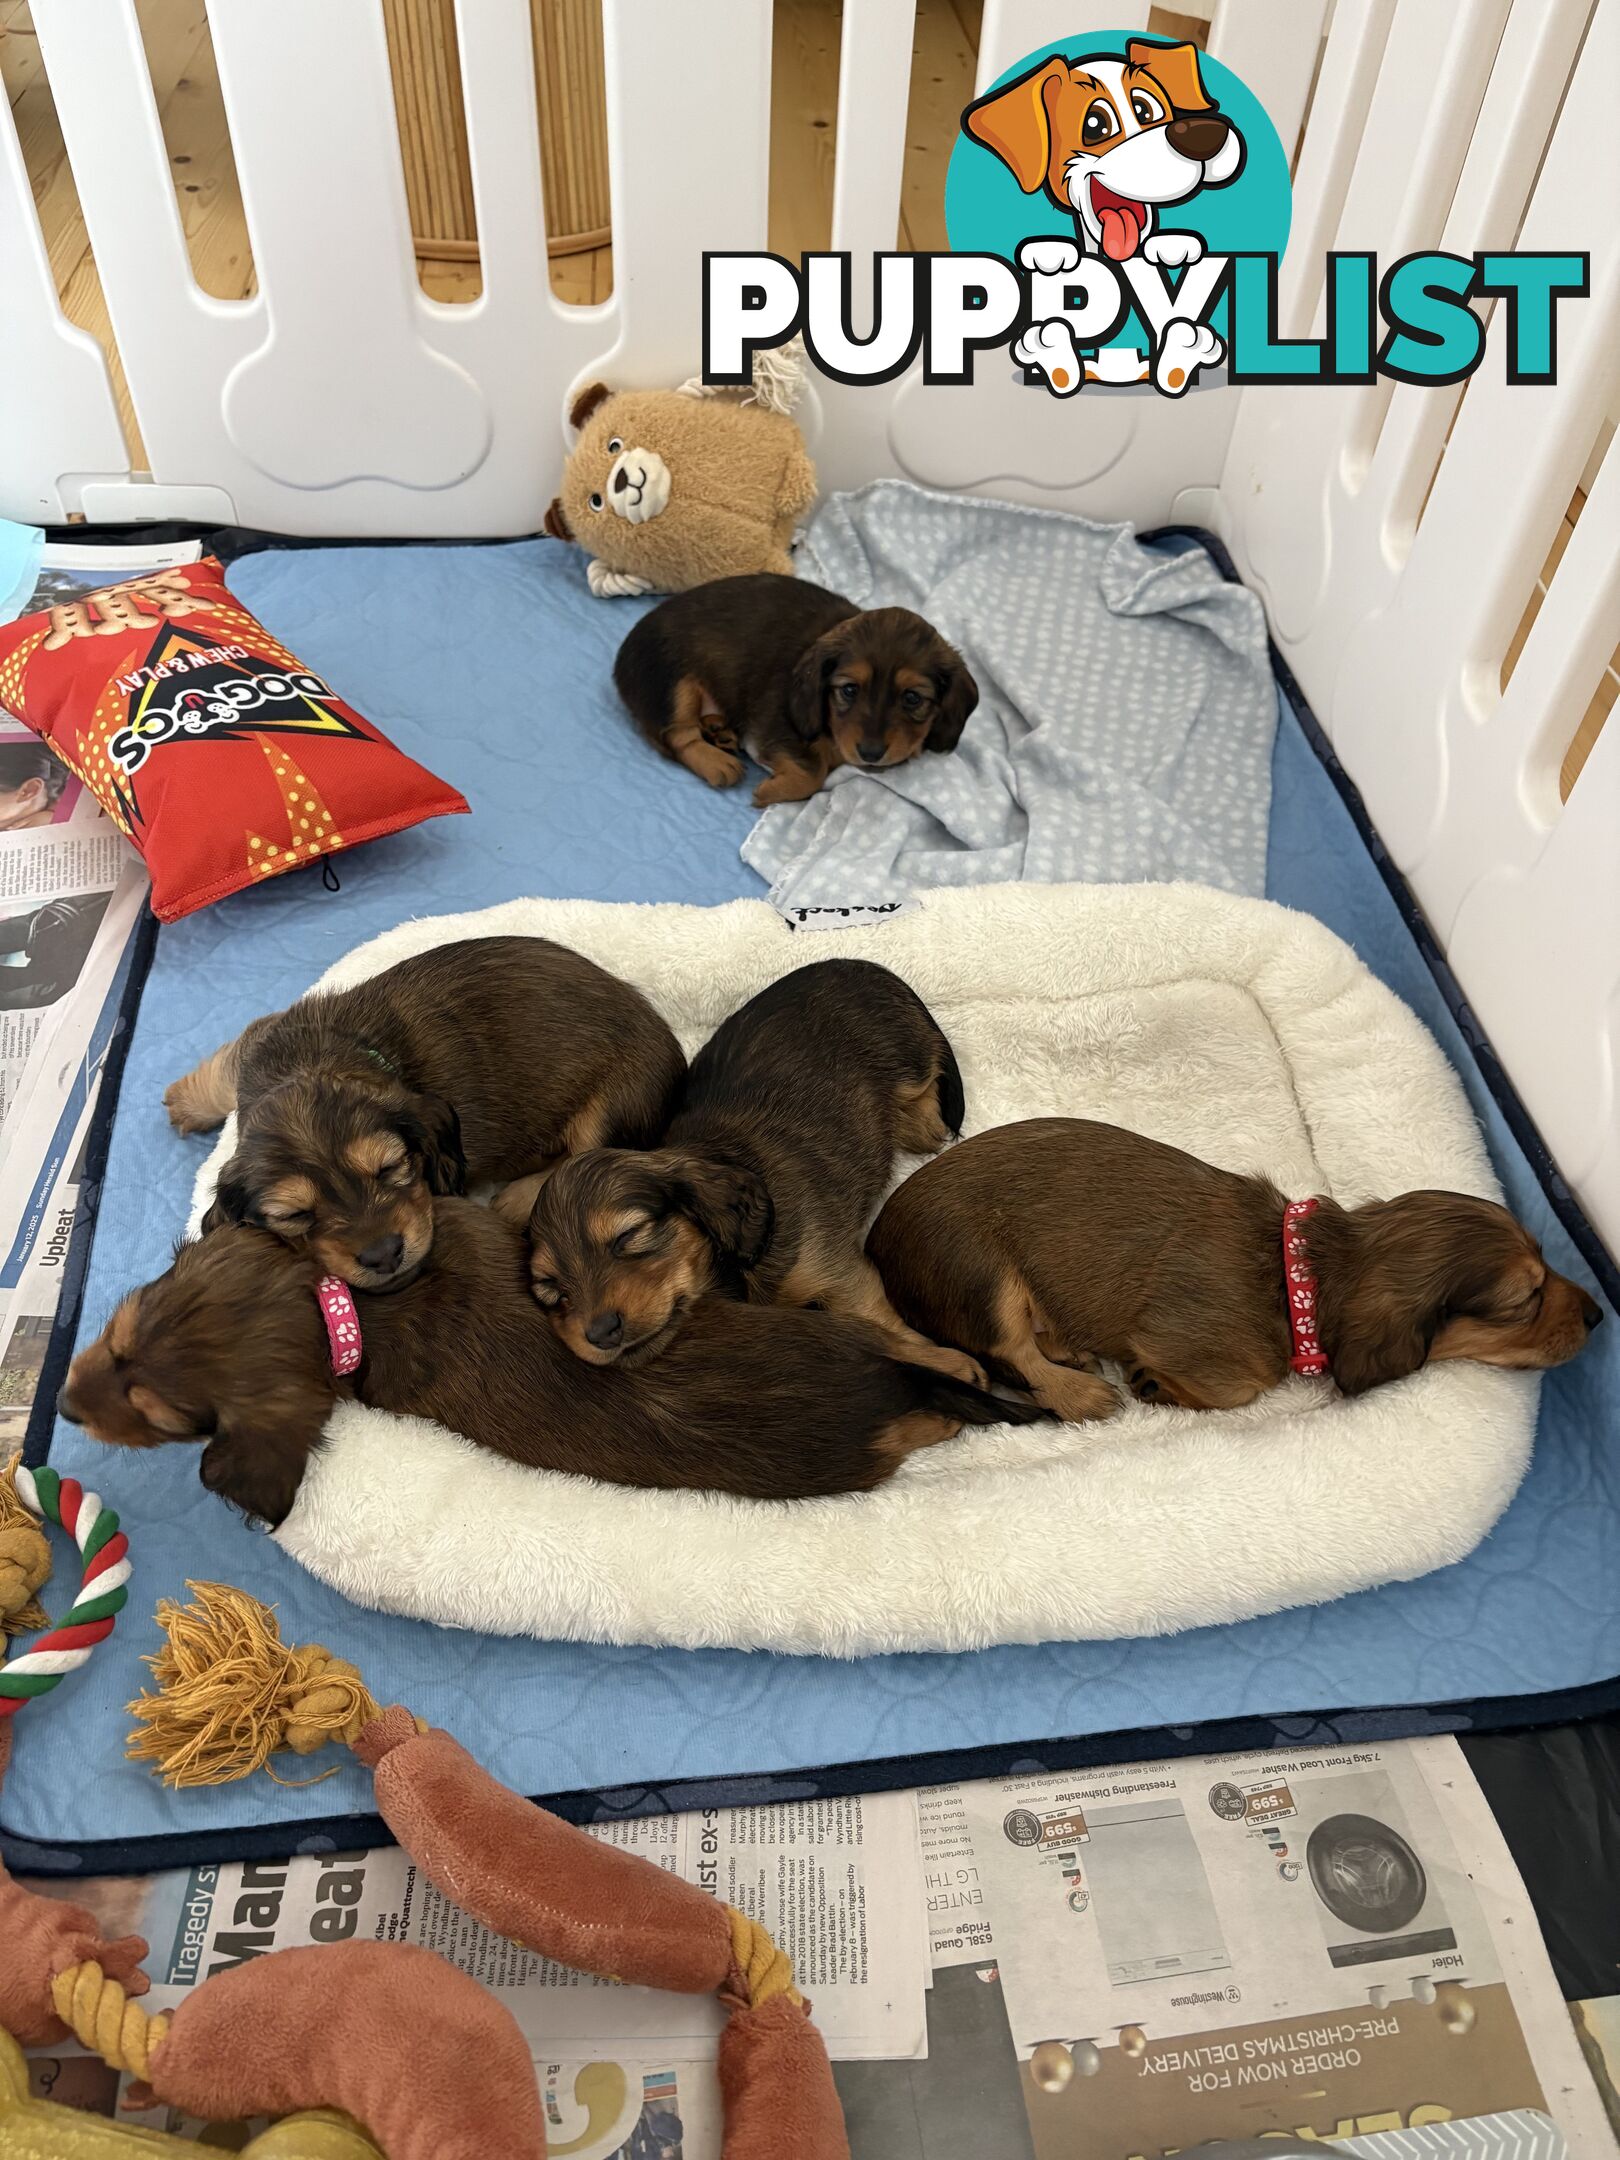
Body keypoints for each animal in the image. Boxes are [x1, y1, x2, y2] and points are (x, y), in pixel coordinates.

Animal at [158, 933, 678, 1296]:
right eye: (295, 1214)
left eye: (390, 1168)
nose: (384, 1255)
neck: (313, 1061)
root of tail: (669, 1039)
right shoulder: (257, 1046)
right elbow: (224, 1072)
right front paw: (185, 1100)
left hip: (612, 1108)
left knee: (582, 1160)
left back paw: (515, 1197)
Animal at [514, 959, 984, 1382]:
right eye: (550, 1288)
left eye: (629, 1235)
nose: (600, 1333)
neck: (728, 1272)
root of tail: (864, 966)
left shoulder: (837, 1272)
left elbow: (876, 1321)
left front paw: (950, 1365)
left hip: (906, 1066)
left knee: (926, 1100)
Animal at [617, 574, 976, 812]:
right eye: (849, 689)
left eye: (912, 698)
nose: (871, 754)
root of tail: (621, 656)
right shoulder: (772, 726)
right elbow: (811, 773)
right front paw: (771, 791)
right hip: (674, 683)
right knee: (680, 735)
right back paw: (718, 762)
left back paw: (719, 731)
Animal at [868, 1114, 1607, 1416]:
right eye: (1524, 1300)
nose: (1602, 1314)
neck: (1298, 1276)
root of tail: (877, 1239)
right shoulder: (1200, 1352)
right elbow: (1232, 1390)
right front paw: (1156, 1385)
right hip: (980, 1273)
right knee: (1012, 1352)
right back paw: (1082, 1391)